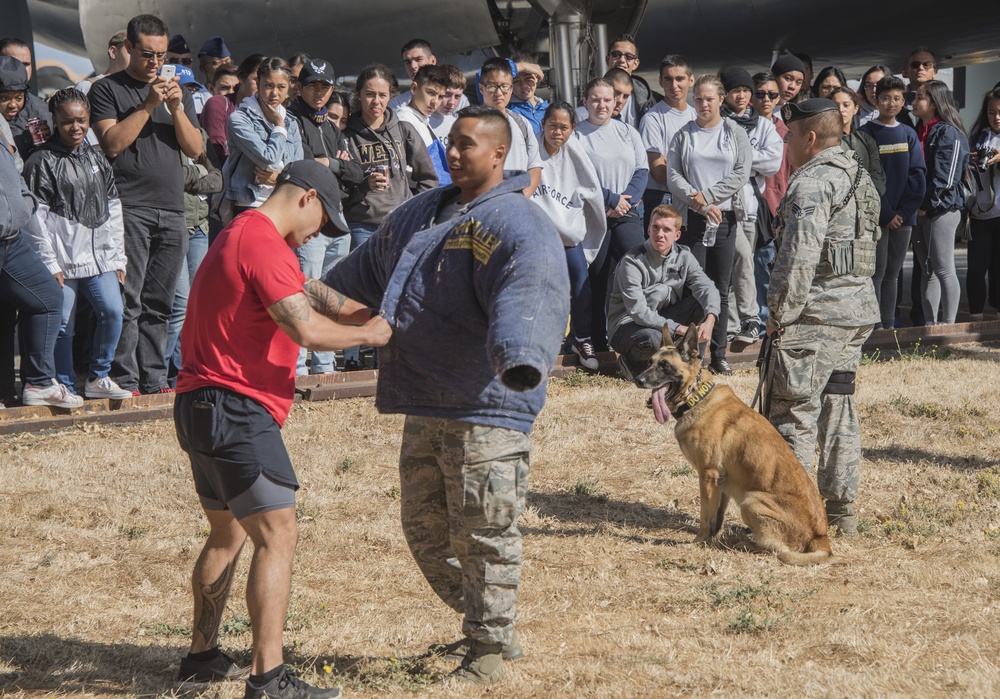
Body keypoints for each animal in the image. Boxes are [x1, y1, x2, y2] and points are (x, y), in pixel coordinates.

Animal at [636, 326, 832, 568]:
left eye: (665, 366)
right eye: (650, 362)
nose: (638, 379)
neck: (697, 398)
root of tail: (821, 538)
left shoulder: (707, 476)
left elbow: (705, 516)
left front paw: (698, 541)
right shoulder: (722, 482)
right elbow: (716, 518)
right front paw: (711, 539)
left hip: (751, 502)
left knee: (776, 549)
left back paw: (746, 544)